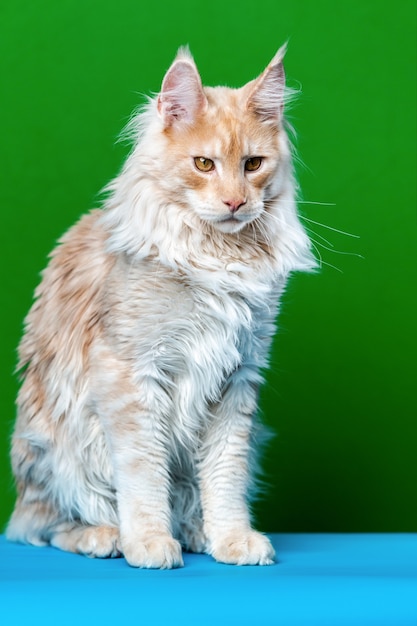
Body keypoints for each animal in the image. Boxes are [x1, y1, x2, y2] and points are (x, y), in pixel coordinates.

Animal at [6, 46, 314, 568]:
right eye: (204, 164)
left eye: (253, 164)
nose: (235, 202)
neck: (216, 257)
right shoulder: (133, 374)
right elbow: (144, 475)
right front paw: (149, 541)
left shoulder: (237, 379)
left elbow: (225, 478)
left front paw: (232, 537)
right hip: (56, 453)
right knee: (43, 526)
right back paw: (105, 536)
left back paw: (194, 531)